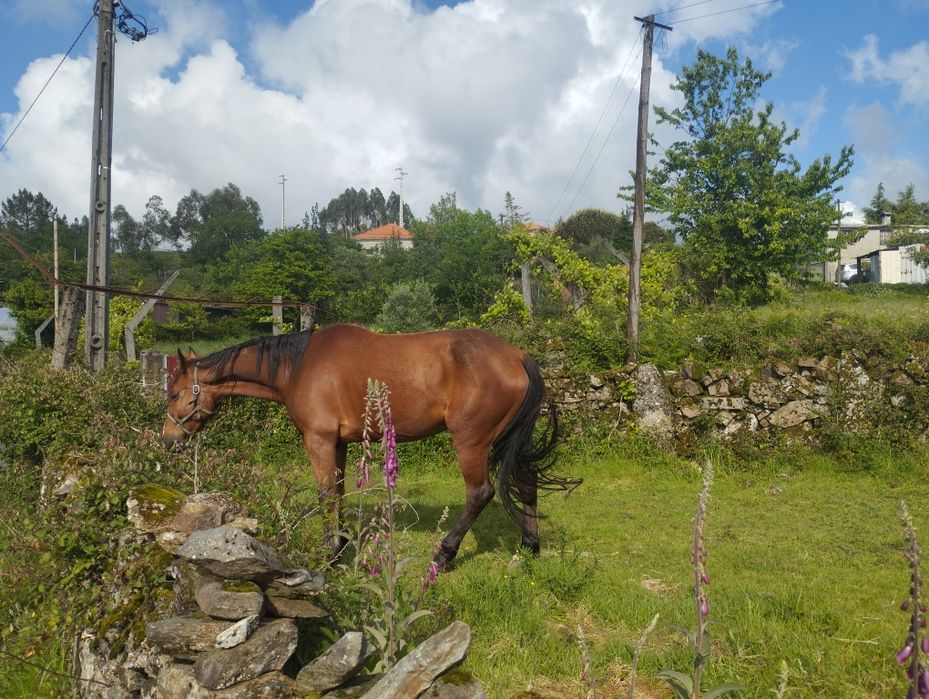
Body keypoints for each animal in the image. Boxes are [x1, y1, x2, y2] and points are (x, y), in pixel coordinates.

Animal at [162, 323, 578, 570]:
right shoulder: (339, 443)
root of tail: (518, 356)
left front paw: (330, 554)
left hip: (471, 442)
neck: (298, 364)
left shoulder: (318, 439)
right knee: (526, 483)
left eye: (175, 393)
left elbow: (325, 494)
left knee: (480, 493)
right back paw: (530, 544)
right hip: (511, 440)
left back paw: (444, 554)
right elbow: (339, 493)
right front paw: (342, 545)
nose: (168, 439)